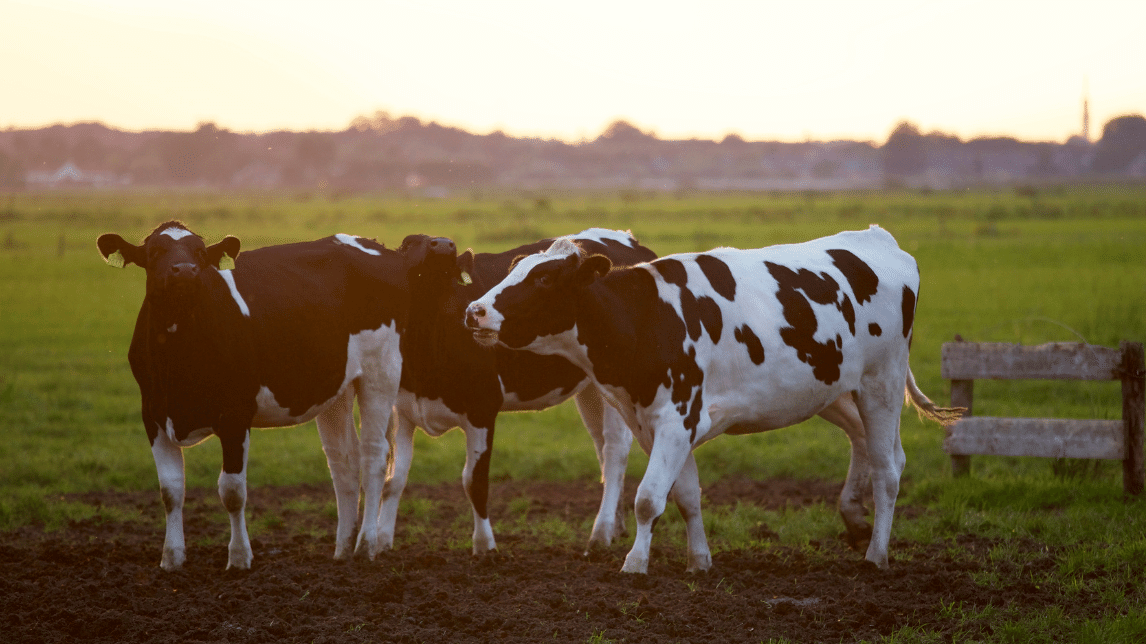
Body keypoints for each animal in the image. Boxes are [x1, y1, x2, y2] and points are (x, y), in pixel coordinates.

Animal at [98, 218, 456, 566]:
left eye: (200, 252)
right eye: (155, 252)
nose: (185, 270)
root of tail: (379, 247)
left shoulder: (235, 415)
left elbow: (232, 491)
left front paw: (239, 558)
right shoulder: (153, 414)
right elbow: (170, 490)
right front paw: (172, 559)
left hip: (380, 372)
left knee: (374, 456)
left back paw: (365, 545)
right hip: (335, 388)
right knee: (344, 461)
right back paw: (342, 548)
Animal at [382, 226, 660, 552]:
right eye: (408, 243)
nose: (443, 245)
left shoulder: (482, 407)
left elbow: (474, 481)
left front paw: (485, 547)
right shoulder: (402, 410)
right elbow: (393, 479)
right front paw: (377, 542)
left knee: (615, 451)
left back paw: (601, 533)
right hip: (593, 389)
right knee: (601, 447)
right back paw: (615, 526)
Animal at [462, 225, 958, 570]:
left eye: (545, 279)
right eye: (514, 269)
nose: (474, 310)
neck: (646, 317)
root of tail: (878, 238)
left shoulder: (677, 418)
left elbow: (648, 498)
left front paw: (634, 564)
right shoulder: (656, 424)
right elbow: (686, 496)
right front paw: (699, 560)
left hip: (882, 382)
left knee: (889, 469)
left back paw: (876, 555)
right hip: (832, 388)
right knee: (871, 446)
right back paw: (855, 521)